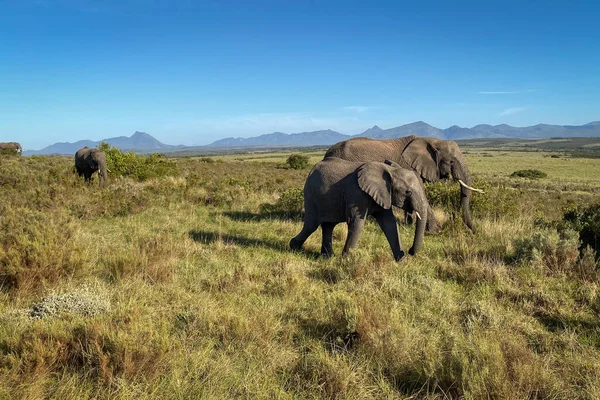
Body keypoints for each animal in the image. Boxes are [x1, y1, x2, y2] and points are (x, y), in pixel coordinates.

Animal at [292, 156, 428, 262]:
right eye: (408, 192)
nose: (410, 251)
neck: (390, 170)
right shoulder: (357, 194)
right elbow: (357, 222)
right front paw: (347, 261)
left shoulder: (383, 194)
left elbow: (389, 223)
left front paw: (402, 262)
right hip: (311, 195)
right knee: (311, 225)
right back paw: (293, 247)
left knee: (328, 226)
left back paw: (328, 257)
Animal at [324, 136, 482, 233]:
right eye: (451, 162)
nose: (475, 231)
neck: (432, 140)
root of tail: (327, 153)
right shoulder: (410, 168)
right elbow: (421, 194)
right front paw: (435, 230)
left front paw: (408, 225)